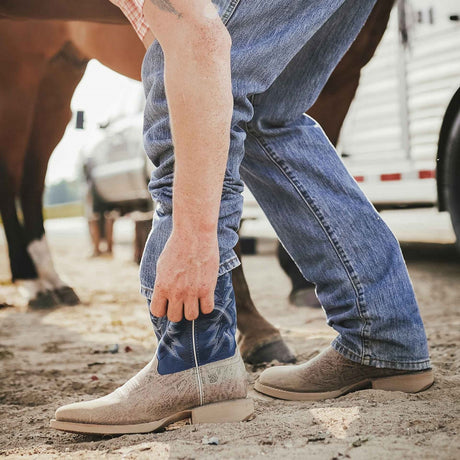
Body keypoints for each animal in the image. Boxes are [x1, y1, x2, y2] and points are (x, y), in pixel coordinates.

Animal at [0, 0, 396, 364]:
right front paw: (253, 328)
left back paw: (51, 281)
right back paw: (33, 283)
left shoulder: (342, 72)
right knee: (12, 174)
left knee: (32, 179)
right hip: (21, 66)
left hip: (58, 72)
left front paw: (301, 285)